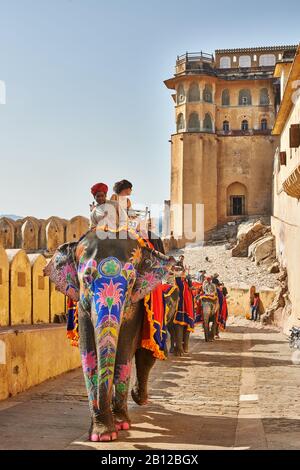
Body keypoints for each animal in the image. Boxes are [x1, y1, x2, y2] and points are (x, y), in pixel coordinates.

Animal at [44, 229, 176, 442]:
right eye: (86, 279)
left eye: (130, 281)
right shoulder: (82, 304)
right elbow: (88, 353)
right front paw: (102, 434)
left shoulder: (135, 305)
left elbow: (123, 352)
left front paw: (119, 426)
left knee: (146, 354)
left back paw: (139, 398)